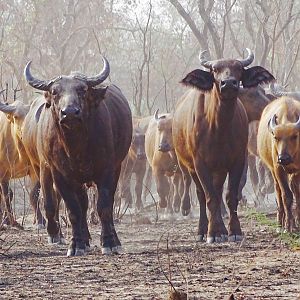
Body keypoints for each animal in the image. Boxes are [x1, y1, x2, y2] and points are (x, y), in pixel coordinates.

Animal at [23, 57, 131, 256]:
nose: (70, 112)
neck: (76, 147)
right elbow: (73, 210)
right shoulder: (60, 174)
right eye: (55, 92)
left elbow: (104, 207)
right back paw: (84, 240)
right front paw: (76, 245)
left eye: (82, 90)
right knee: (81, 204)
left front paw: (109, 243)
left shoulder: (107, 170)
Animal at [173, 48, 274, 243]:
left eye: (239, 69)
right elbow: (210, 197)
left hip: (219, 168)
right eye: (215, 70)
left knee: (218, 191)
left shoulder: (237, 160)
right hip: (189, 166)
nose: (228, 83)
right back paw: (202, 230)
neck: (219, 127)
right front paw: (214, 232)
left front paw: (234, 231)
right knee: (201, 194)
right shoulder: (200, 163)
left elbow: (230, 196)